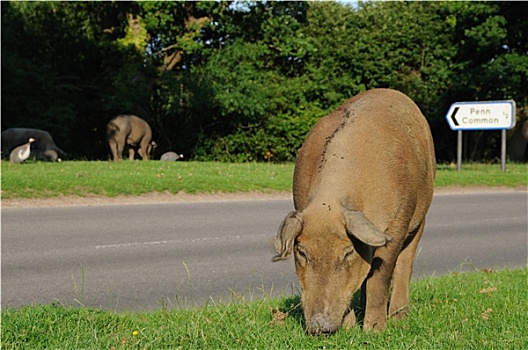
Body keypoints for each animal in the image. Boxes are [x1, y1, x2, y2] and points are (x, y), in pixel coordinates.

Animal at [274, 87, 436, 334]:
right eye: (301, 252)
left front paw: (374, 330)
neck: (331, 201)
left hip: (421, 216)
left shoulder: (397, 223)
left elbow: (381, 276)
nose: (319, 326)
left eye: (348, 252)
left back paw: (399, 318)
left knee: (404, 265)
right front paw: (350, 330)